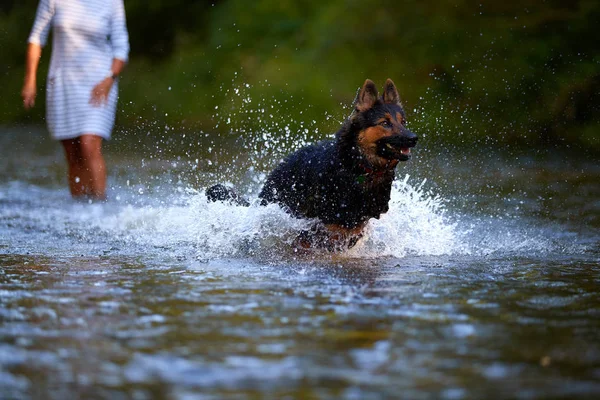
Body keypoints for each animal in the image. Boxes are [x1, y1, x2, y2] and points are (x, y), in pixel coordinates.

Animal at [206, 78, 418, 250]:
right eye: (385, 123)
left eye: (403, 122)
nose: (413, 138)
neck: (358, 168)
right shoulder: (322, 225)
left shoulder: (355, 225)